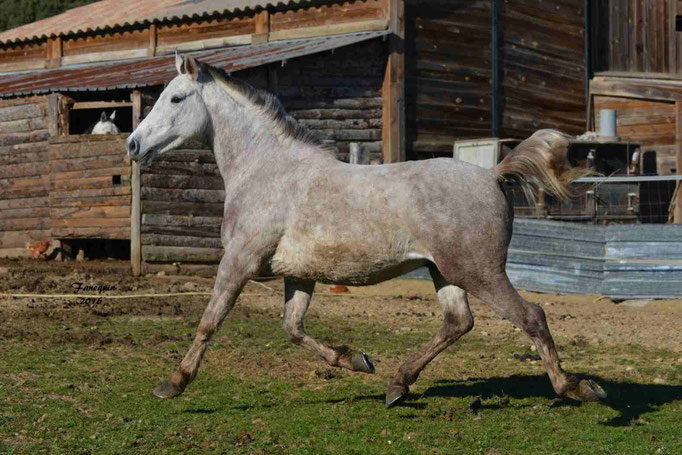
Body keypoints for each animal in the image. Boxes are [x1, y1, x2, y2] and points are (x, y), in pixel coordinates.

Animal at [125, 55, 604, 408]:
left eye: (176, 98)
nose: (133, 144)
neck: (267, 171)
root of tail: (492, 175)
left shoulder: (238, 262)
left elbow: (210, 321)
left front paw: (173, 383)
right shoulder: (298, 274)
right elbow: (292, 328)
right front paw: (357, 359)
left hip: (480, 272)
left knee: (531, 317)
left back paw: (576, 388)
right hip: (444, 272)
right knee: (458, 322)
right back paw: (397, 385)